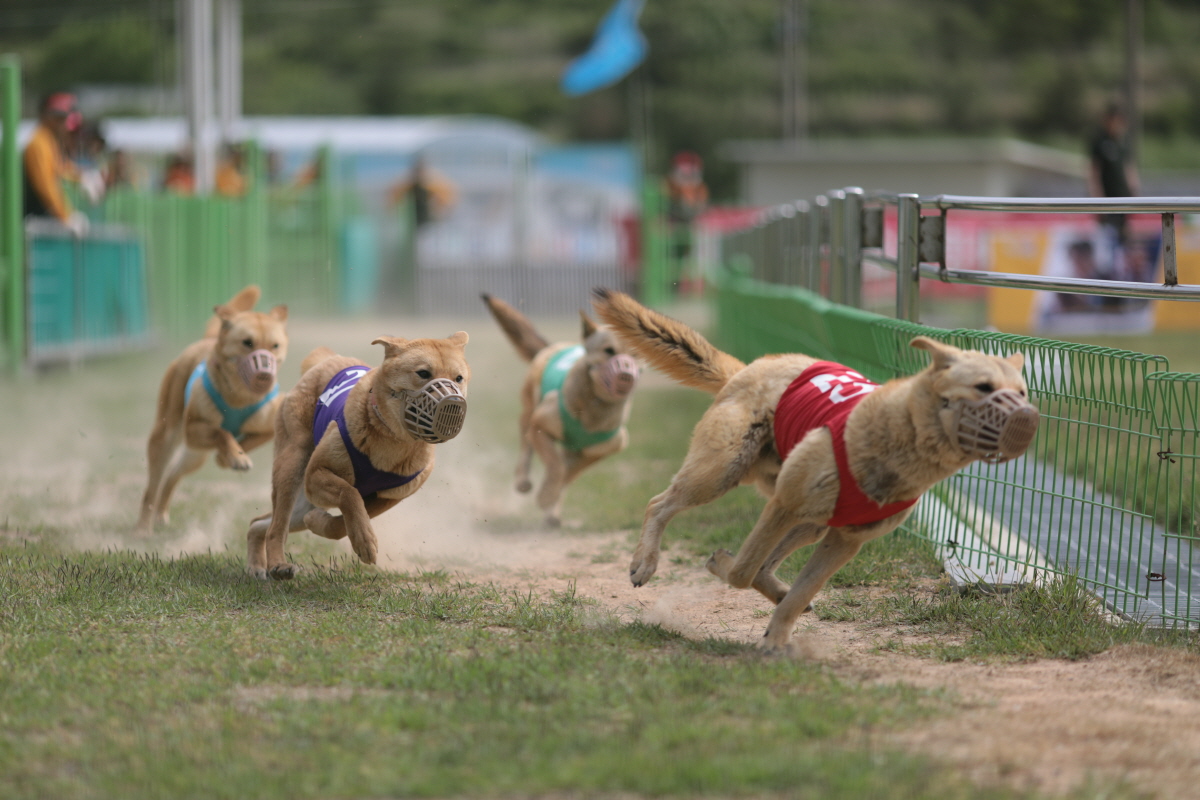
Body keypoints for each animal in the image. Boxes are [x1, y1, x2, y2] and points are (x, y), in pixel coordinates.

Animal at [138, 284, 288, 534]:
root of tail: (206, 341)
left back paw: (161, 515)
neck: (240, 398)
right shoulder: (193, 429)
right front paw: (235, 456)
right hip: (168, 435)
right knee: (152, 486)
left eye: (275, 346)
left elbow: (246, 440)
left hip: (195, 456)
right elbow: (222, 432)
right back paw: (142, 527)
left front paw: (230, 457)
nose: (265, 374)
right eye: (247, 342)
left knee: (172, 475)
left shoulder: (268, 428)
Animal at [244, 331, 468, 582]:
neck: (392, 441)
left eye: (459, 378)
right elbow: (349, 493)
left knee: (259, 523)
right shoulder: (315, 475)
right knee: (276, 527)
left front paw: (324, 524)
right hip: (293, 464)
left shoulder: (388, 497)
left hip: (300, 506)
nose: (453, 402)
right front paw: (364, 540)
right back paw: (278, 565)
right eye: (423, 373)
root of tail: (328, 359)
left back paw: (256, 566)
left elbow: (344, 522)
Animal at [482, 293, 643, 532]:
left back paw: (552, 513)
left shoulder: (608, 446)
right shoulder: (540, 425)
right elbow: (556, 466)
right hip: (529, 409)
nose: (626, 374)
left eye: (636, 354)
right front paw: (547, 495)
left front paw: (551, 497)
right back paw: (523, 480)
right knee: (525, 442)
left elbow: (569, 474)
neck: (594, 408)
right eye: (608, 350)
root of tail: (554, 346)